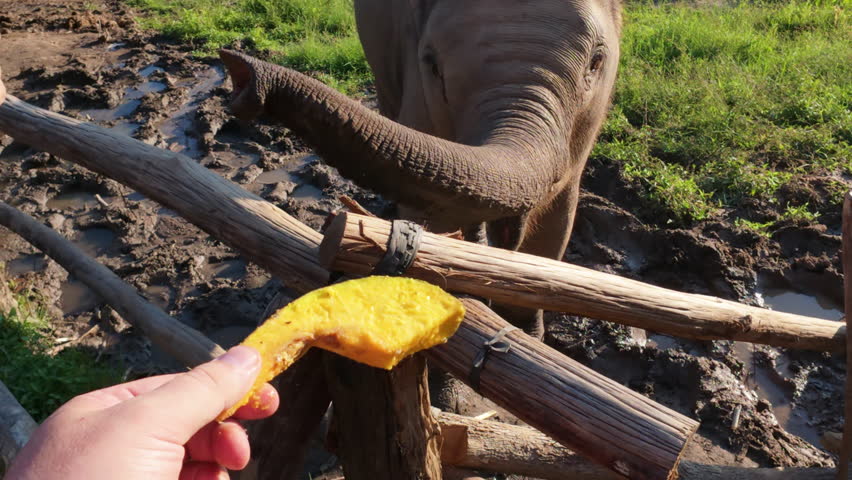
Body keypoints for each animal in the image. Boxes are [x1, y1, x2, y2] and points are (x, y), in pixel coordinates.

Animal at [219, 0, 623, 338]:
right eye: (432, 64)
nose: (241, 73)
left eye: (596, 61)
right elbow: (436, 218)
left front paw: (525, 332)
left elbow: (556, 225)